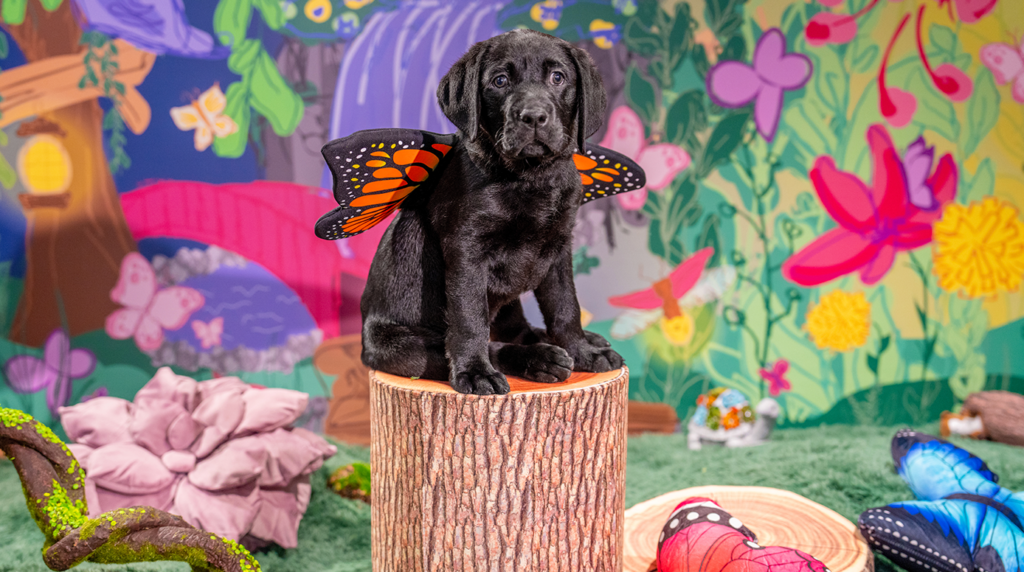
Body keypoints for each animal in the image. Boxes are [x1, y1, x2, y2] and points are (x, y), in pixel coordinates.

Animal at [360, 29, 618, 397]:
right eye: (499, 81)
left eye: (558, 77)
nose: (534, 116)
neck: (528, 176)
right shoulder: (466, 252)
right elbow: (470, 320)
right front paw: (474, 371)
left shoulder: (558, 248)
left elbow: (566, 307)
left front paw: (583, 351)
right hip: (397, 345)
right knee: (477, 343)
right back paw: (540, 359)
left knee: (520, 329)